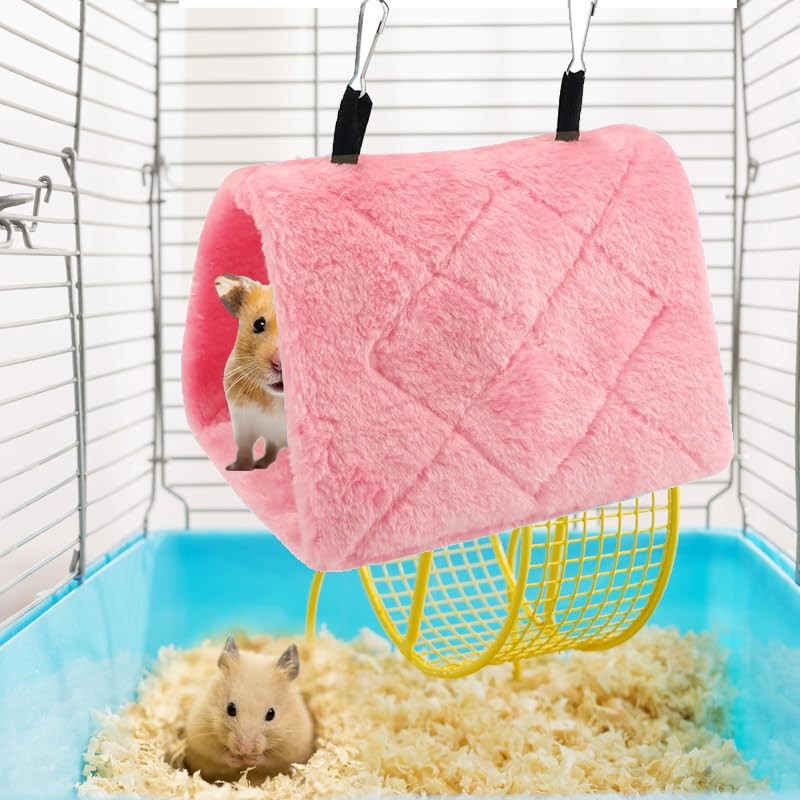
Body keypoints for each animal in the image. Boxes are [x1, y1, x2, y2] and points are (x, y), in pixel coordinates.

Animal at [184, 638, 315, 785]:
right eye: (230, 708)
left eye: (271, 714)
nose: (245, 750)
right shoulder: (200, 734)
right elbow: (218, 754)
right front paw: (236, 758)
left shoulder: (292, 746)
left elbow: (270, 759)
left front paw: (251, 759)